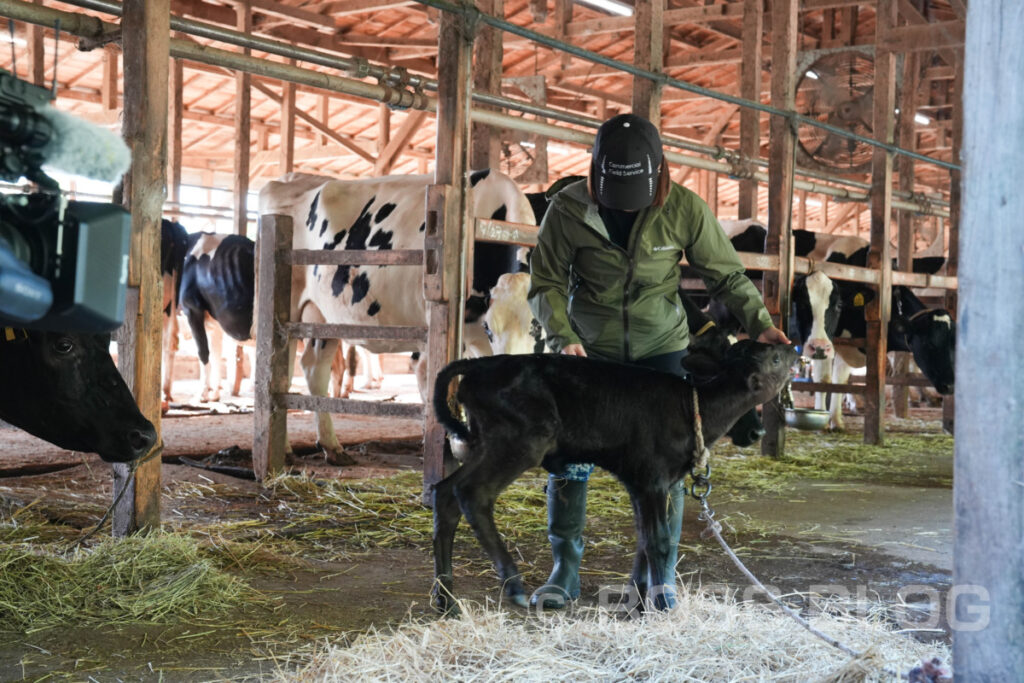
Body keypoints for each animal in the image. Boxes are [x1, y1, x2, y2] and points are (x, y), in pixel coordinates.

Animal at [258, 167, 536, 462]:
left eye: (537, 327)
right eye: (489, 328)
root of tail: (288, 179)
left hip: (322, 318)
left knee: (314, 368)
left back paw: (331, 446)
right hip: (286, 310)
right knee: (281, 370)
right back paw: (284, 448)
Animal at [428, 342, 794, 614]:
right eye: (775, 358)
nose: (792, 347)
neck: (695, 407)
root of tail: (480, 365)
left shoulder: (642, 482)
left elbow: (644, 539)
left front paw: (639, 601)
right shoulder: (651, 478)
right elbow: (658, 540)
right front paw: (662, 607)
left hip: (488, 444)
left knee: (445, 493)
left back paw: (447, 600)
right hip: (519, 441)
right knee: (471, 493)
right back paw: (512, 583)